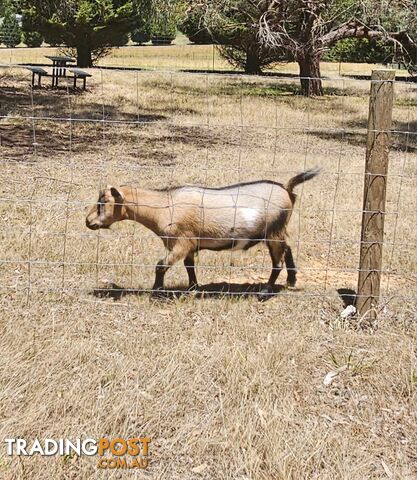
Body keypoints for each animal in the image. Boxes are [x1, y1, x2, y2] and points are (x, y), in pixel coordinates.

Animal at [84, 167, 318, 298]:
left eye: (103, 202)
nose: (88, 222)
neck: (163, 207)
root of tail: (287, 189)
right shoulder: (189, 245)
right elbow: (189, 266)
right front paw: (194, 288)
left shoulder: (181, 242)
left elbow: (160, 265)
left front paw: (157, 292)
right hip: (278, 231)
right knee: (288, 249)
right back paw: (291, 281)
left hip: (273, 232)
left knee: (277, 261)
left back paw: (266, 292)